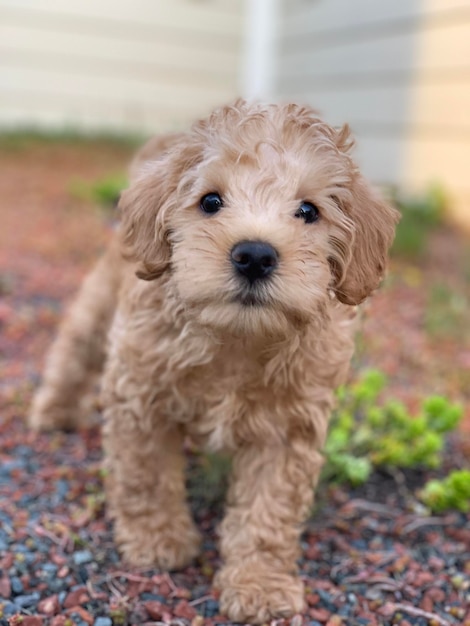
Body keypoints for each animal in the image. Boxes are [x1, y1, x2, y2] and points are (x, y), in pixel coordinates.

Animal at [31, 101, 398, 620]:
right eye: (210, 201)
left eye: (309, 211)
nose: (255, 254)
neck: (235, 339)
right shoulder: (140, 396)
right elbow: (146, 476)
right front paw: (158, 539)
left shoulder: (288, 431)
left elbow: (267, 513)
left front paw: (260, 584)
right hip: (100, 300)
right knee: (75, 345)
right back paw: (57, 410)